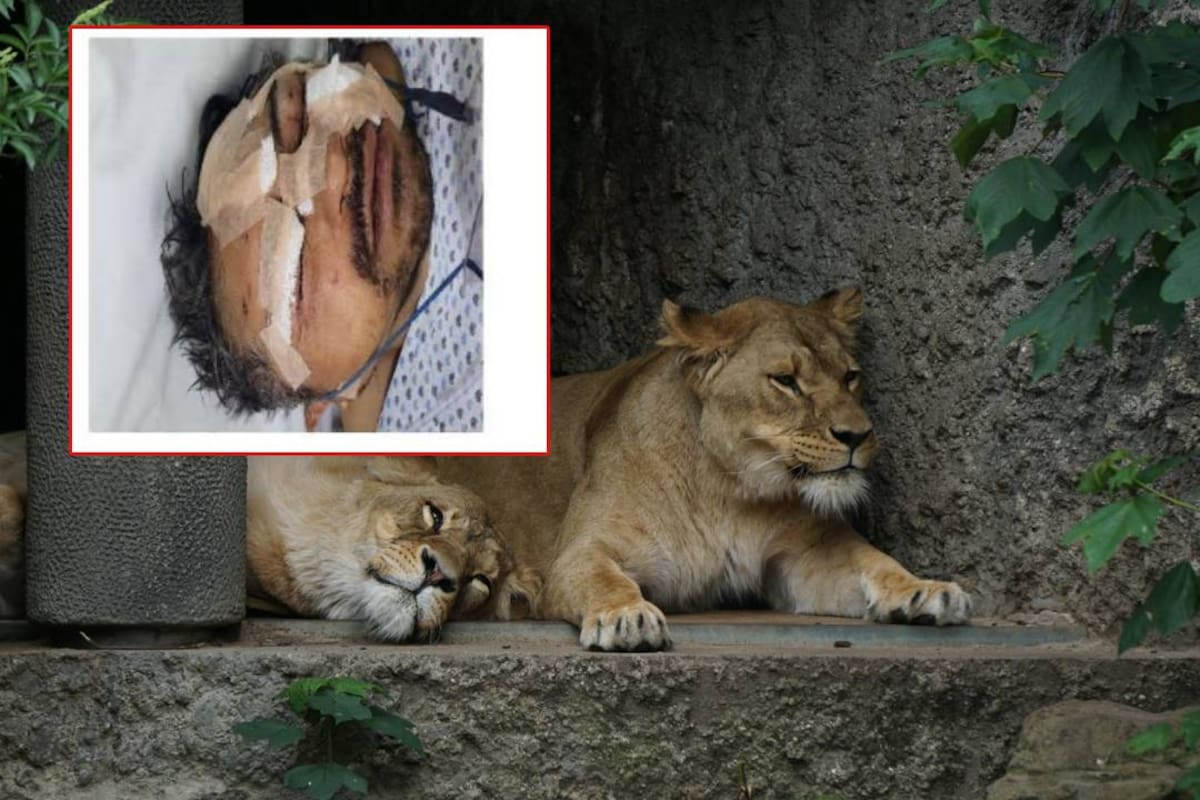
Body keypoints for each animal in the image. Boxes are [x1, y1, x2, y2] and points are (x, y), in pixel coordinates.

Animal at [437, 288, 971, 651]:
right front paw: (627, 616)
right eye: (786, 381)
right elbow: (604, 579)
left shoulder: (801, 557)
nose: (858, 436)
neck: (728, 490)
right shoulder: (577, 554)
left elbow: (873, 563)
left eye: (850, 376)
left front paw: (926, 591)